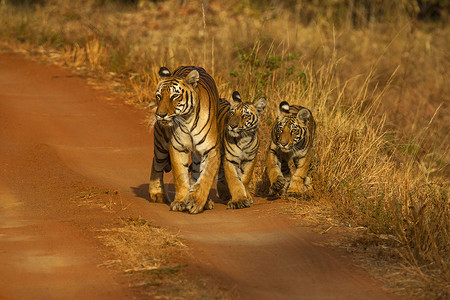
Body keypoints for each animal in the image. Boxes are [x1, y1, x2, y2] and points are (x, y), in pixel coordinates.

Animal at [150, 65, 221, 213]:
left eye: (174, 96)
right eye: (159, 96)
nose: (160, 115)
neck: (187, 120)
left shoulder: (211, 150)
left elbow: (206, 176)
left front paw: (196, 202)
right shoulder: (177, 147)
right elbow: (180, 177)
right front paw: (180, 202)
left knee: (196, 172)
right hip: (160, 143)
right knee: (156, 163)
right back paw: (157, 194)